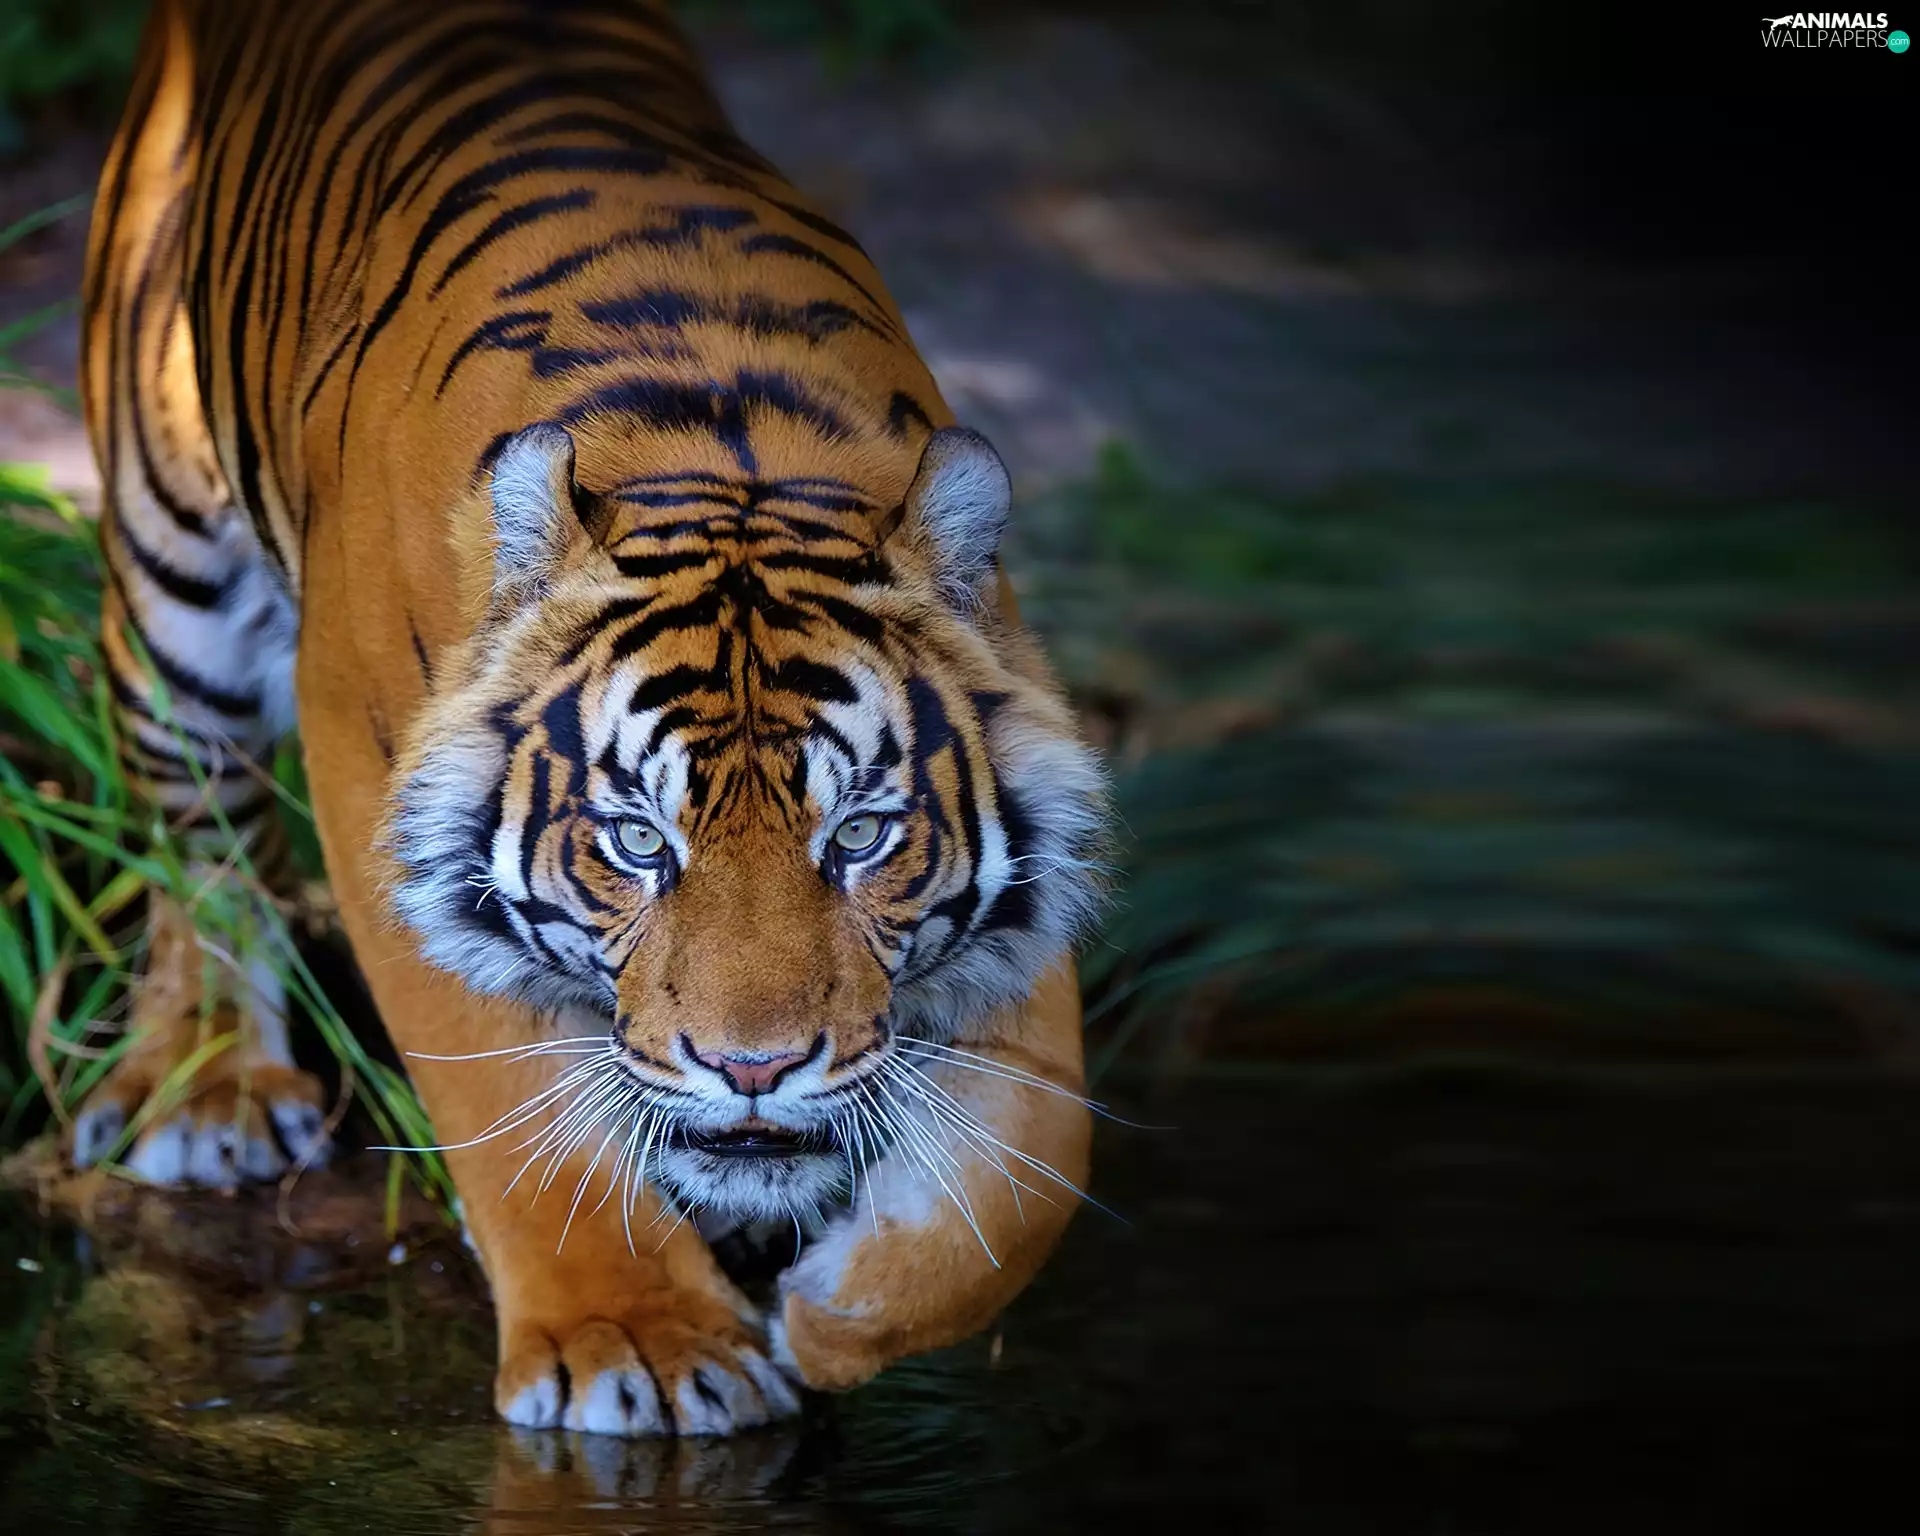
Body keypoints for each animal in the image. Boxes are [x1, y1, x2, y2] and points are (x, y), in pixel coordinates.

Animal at [70, 0, 1111, 1435]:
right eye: (634, 843)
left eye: (859, 837)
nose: (753, 1071)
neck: (718, 442)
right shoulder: (369, 779)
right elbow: (510, 1102)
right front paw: (639, 1349)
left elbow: (1040, 1160)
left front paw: (836, 1314)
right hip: (173, 569)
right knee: (194, 836)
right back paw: (210, 1086)